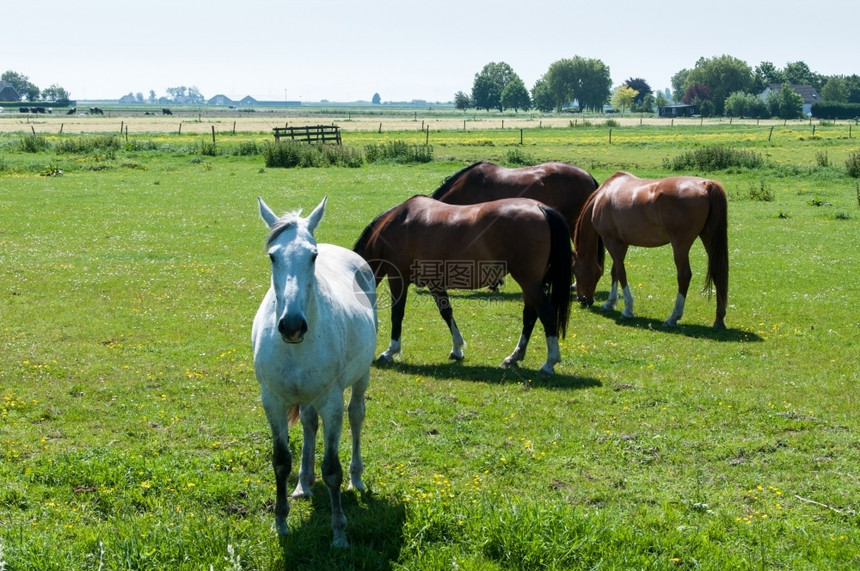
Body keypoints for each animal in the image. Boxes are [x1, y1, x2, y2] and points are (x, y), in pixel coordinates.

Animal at [252, 198, 380, 548]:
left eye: (312, 255)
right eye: (273, 255)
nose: (292, 325)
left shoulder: (331, 402)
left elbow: (332, 468)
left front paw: (339, 533)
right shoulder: (272, 401)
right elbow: (281, 461)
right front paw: (281, 522)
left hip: (360, 378)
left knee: (356, 415)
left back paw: (357, 479)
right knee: (310, 425)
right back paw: (303, 484)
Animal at [352, 197, 576, 376]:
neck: (398, 224)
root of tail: (539, 207)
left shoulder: (398, 278)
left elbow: (397, 314)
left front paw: (390, 351)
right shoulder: (435, 282)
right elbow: (446, 312)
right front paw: (457, 349)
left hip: (529, 282)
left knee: (546, 314)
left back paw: (549, 363)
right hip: (533, 284)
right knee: (530, 315)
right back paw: (514, 357)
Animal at [576, 171, 728, 330]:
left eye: (575, 270)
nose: (583, 299)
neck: (604, 195)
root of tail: (706, 184)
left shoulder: (610, 240)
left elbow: (621, 272)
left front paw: (627, 309)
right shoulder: (621, 243)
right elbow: (615, 272)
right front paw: (609, 303)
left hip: (680, 245)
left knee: (684, 275)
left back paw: (673, 317)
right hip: (709, 239)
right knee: (718, 274)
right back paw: (719, 319)